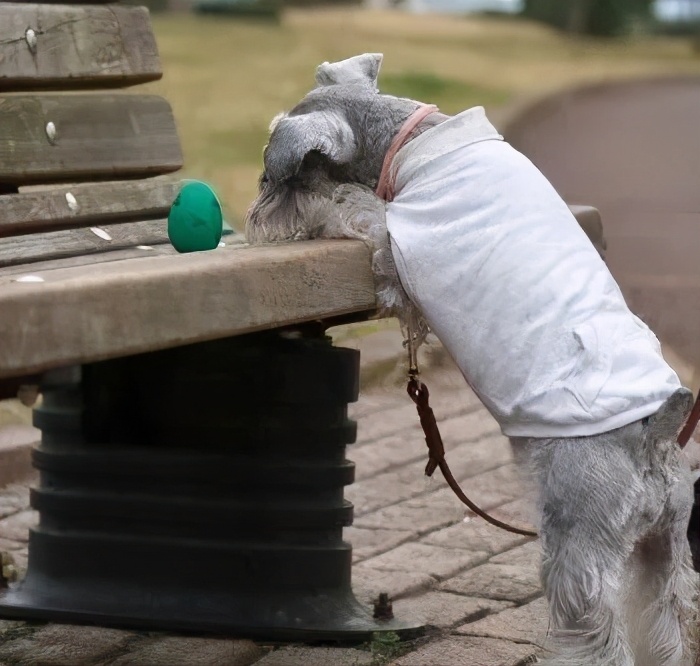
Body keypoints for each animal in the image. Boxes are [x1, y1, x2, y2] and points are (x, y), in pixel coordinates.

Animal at [243, 53, 696, 664]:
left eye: (278, 173)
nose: (256, 217)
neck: (408, 140)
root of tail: (654, 439)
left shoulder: (392, 251)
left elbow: (358, 209)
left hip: (578, 551)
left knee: (596, 634)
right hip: (663, 553)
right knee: (665, 626)